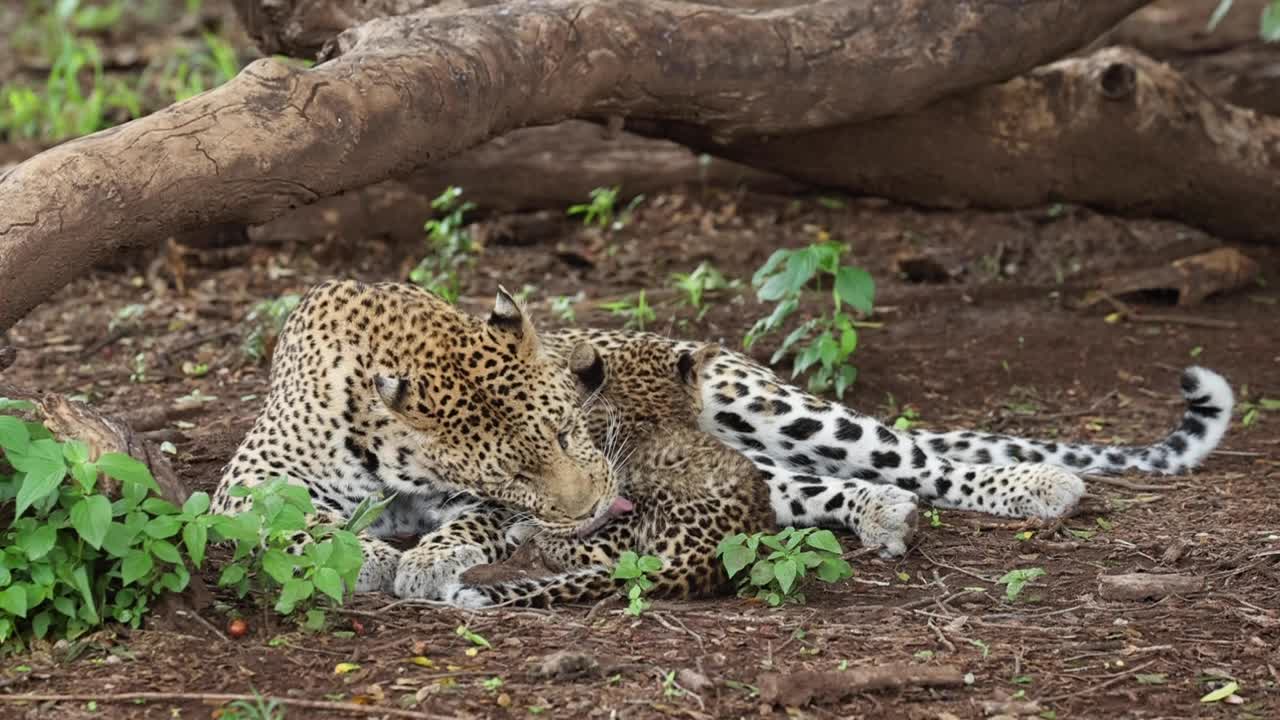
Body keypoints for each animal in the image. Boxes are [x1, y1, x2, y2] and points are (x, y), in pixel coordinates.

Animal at [210, 279, 625, 594]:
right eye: (514, 477)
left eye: (565, 433)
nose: (592, 510)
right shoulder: (252, 475)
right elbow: (300, 518)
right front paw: (360, 555)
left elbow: (477, 521)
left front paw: (436, 557)